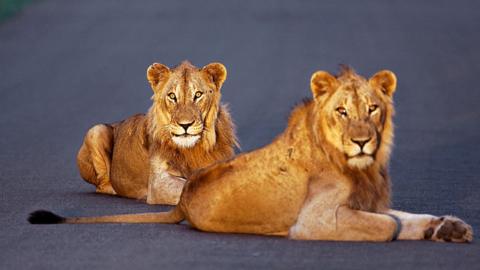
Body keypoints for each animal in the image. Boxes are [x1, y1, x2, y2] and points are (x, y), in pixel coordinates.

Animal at [76, 60, 239, 205]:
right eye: (172, 96)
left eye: (198, 94)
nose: (185, 125)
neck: (193, 150)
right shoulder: (158, 183)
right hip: (96, 130)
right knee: (103, 186)